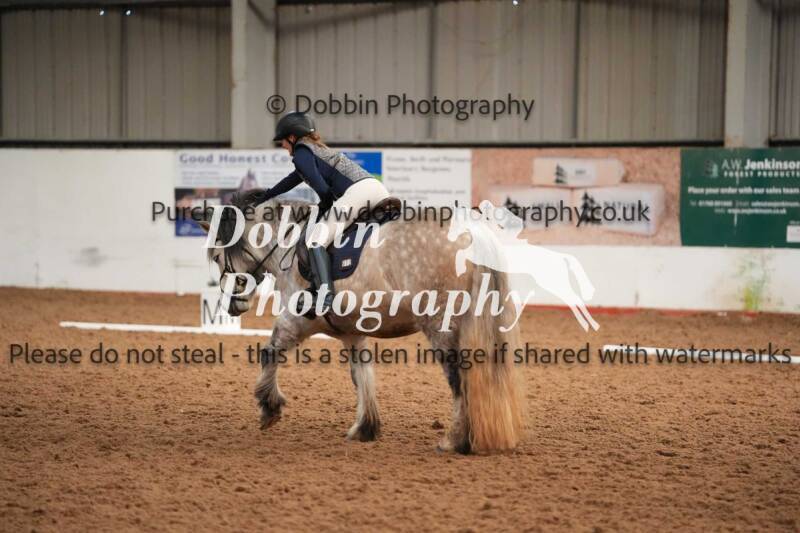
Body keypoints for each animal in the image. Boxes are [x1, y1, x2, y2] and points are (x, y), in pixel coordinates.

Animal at [198, 190, 524, 454]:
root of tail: (473, 231)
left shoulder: (296, 321)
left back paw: (455, 440)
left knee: (458, 378)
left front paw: (269, 408)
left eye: (216, 257)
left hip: (440, 325)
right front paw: (365, 427)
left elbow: (269, 353)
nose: (232, 306)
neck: (287, 244)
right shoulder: (352, 333)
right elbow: (361, 375)